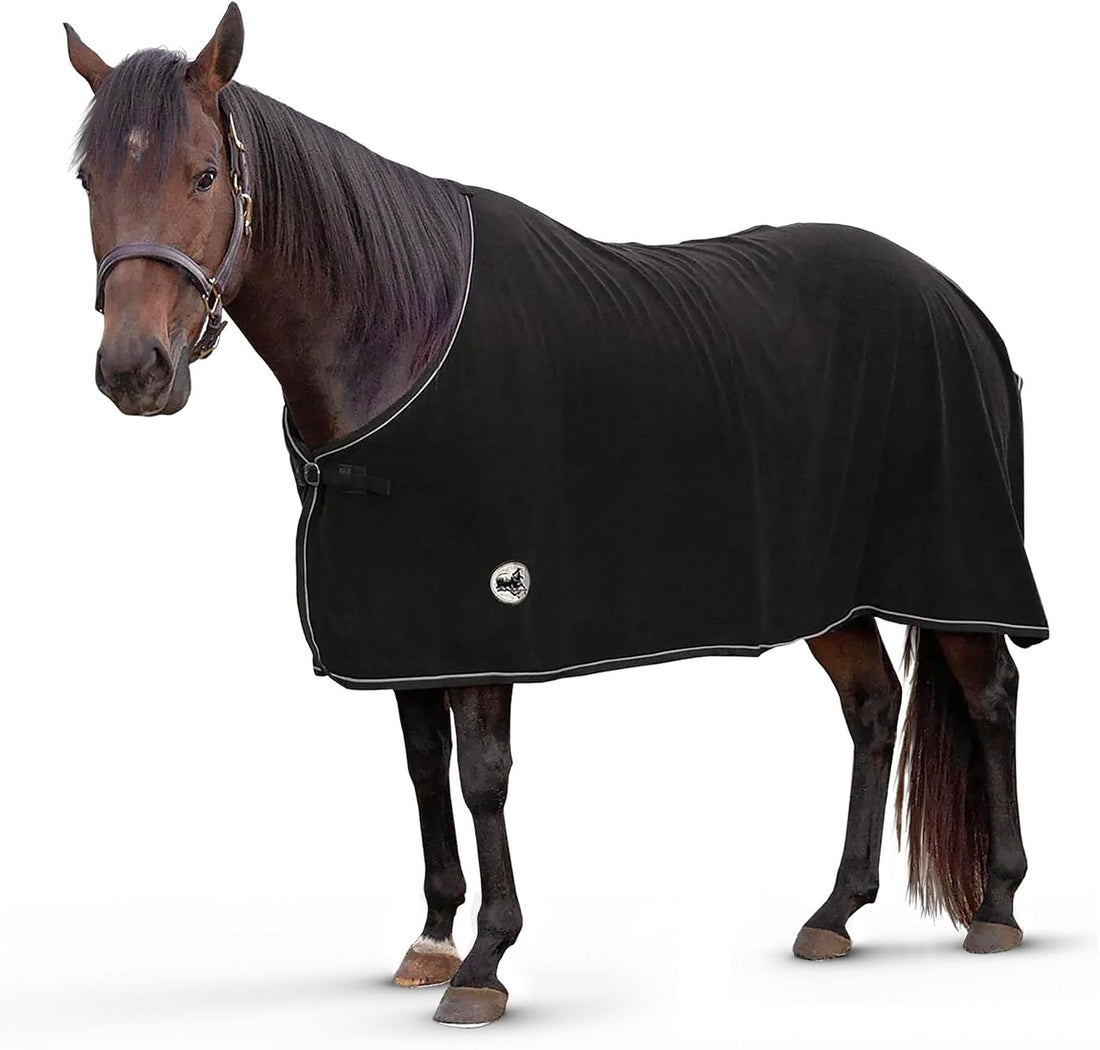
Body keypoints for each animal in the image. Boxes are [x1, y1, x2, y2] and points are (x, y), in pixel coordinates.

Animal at [64, 4, 1047, 1028]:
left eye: (204, 175)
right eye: (90, 179)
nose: (134, 373)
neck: (402, 336)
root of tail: (955, 301)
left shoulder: (490, 614)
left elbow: (482, 776)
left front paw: (484, 963)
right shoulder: (406, 623)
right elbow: (424, 766)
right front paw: (433, 937)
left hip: (954, 569)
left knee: (990, 696)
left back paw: (997, 906)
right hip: (833, 593)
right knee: (873, 706)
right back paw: (836, 912)